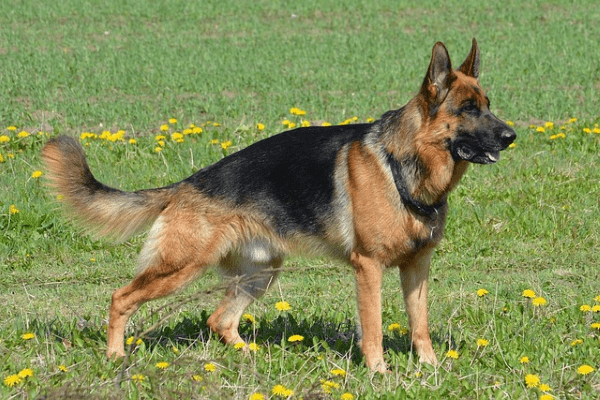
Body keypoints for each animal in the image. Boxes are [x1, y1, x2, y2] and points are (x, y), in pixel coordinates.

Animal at [41, 39, 516, 374]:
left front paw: (430, 368)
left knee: (220, 320)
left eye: (488, 106)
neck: (403, 164)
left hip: (261, 274)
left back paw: (250, 356)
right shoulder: (369, 268)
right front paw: (379, 372)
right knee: (121, 298)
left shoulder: (417, 268)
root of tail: (188, 184)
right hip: (180, 267)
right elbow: (375, 328)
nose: (512, 136)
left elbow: (420, 325)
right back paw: (115, 356)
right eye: (468, 109)